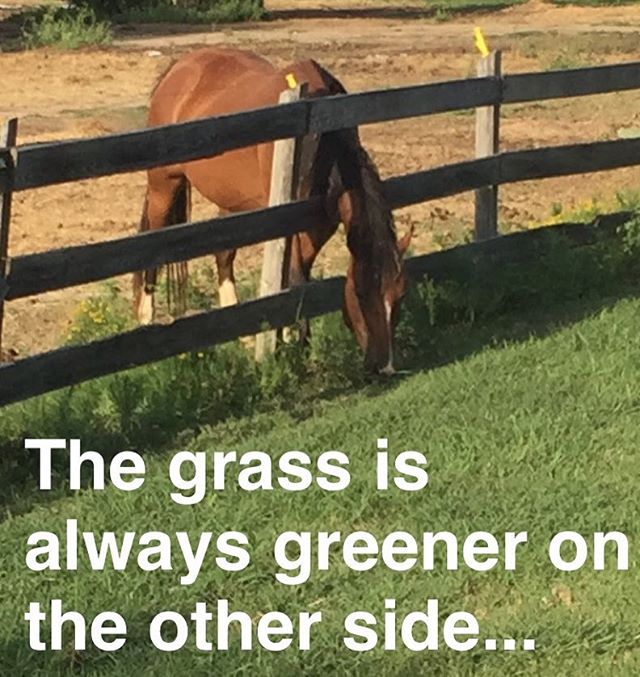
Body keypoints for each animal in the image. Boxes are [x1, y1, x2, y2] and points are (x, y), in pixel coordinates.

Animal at [136, 47, 410, 372]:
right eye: (363, 294)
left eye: (400, 294)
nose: (385, 366)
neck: (319, 133)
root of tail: (180, 66)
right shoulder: (290, 222)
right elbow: (295, 277)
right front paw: (295, 342)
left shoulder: (318, 226)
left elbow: (297, 276)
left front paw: (291, 338)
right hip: (164, 186)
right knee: (152, 248)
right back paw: (145, 321)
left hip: (233, 201)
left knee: (223, 255)